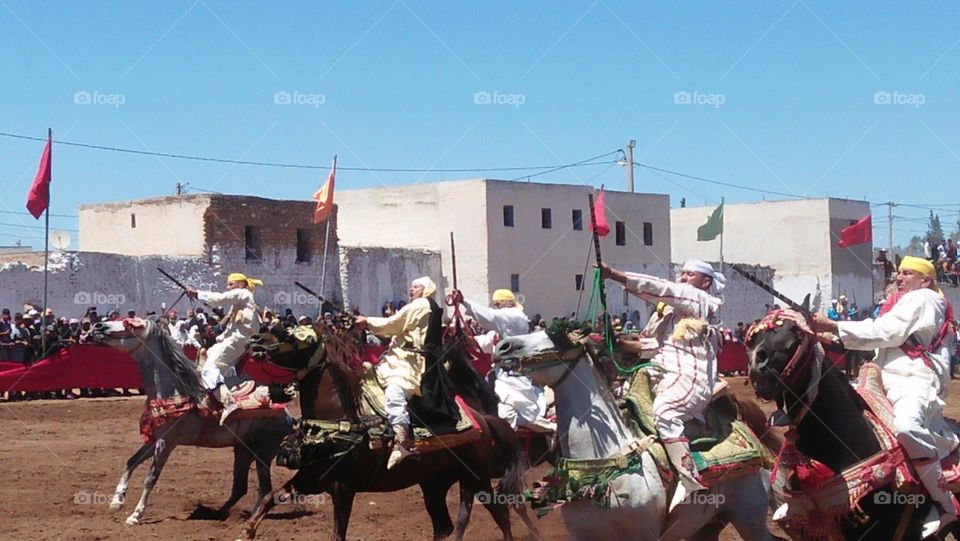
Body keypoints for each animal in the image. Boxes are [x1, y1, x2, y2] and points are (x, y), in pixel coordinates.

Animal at [84, 316, 294, 524]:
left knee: (265, 489)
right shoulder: (155, 439)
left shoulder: (166, 442)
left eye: (133, 324)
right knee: (240, 488)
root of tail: (288, 416)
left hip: (262, 453)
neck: (176, 392)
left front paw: (136, 515)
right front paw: (116, 501)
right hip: (242, 451)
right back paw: (219, 513)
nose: (98, 326)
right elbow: (131, 462)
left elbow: (151, 478)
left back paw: (252, 516)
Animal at [238, 318, 524, 536]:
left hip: (476, 478)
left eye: (293, 333)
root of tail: (482, 418)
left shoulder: (343, 489)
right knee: (443, 526)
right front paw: (248, 530)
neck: (338, 423)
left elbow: (337, 534)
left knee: (500, 513)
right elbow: (270, 497)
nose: (254, 340)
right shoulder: (311, 479)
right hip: (434, 482)